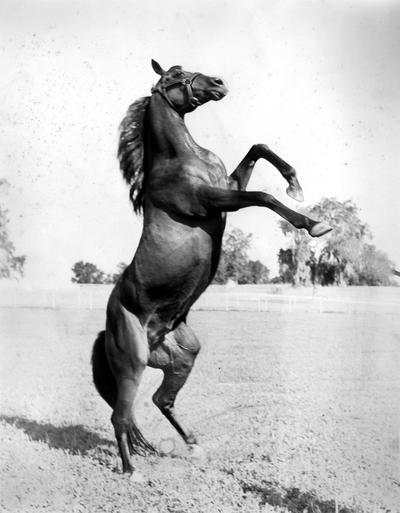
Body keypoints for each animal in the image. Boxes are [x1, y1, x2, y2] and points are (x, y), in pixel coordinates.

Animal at [91, 59, 332, 472]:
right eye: (174, 75)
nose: (219, 83)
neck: (181, 158)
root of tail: (108, 329)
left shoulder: (228, 187)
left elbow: (258, 148)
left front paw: (295, 184)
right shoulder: (210, 200)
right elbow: (263, 196)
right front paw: (315, 223)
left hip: (184, 355)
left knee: (160, 400)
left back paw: (193, 444)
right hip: (132, 363)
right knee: (120, 416)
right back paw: (132, 471)